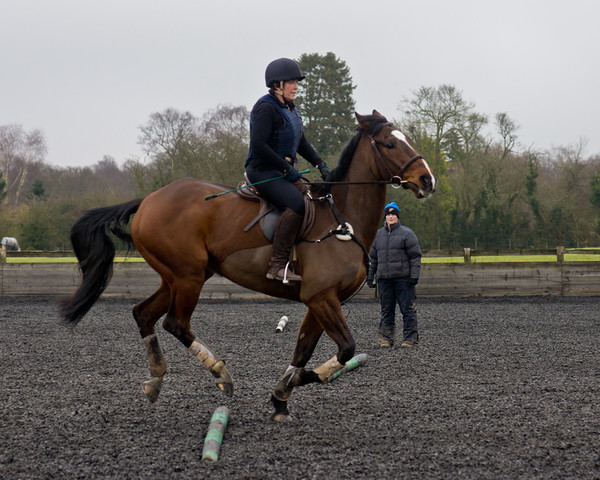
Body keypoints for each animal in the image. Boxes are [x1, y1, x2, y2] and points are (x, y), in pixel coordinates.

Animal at [59, 110, 436, 422]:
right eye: (389, 143)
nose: (427, 180)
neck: (341, 218)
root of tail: (149, 199)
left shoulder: (320, 301)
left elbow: (303, 349)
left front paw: (281, 397)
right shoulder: (321, 297)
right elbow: (345, 349)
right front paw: (308, 378)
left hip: (177, 277)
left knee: (143, 314)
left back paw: (155, 379)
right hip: (188, 276)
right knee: (175, 323)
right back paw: (220, 374)